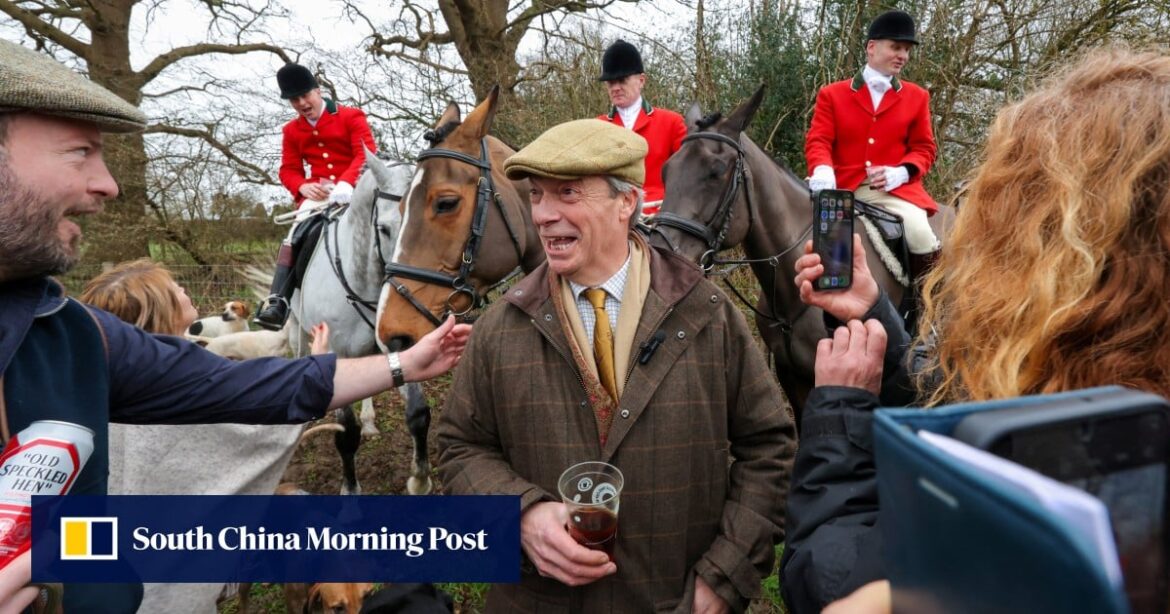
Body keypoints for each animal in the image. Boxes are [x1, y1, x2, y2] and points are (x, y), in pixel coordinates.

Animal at [287, 150, 439, 495]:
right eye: (384, 228)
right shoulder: (337, 354)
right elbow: (346, 431)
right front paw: (350, 489)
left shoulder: (398, 344)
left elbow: (418, 413)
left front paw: (419, 480)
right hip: (296, 331)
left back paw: (370, 421)